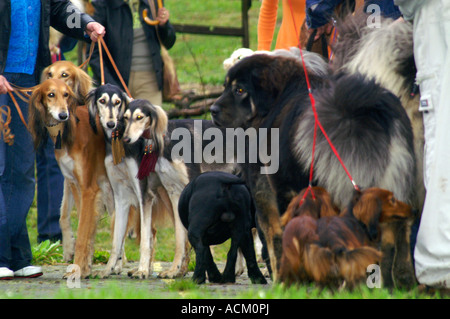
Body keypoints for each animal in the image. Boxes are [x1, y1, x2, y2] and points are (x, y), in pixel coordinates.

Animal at [209, 53, 416, 282]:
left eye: (239, 90)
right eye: (225, 87)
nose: (212, 110)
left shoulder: (278, 192)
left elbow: (277, 240)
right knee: (397, 240)